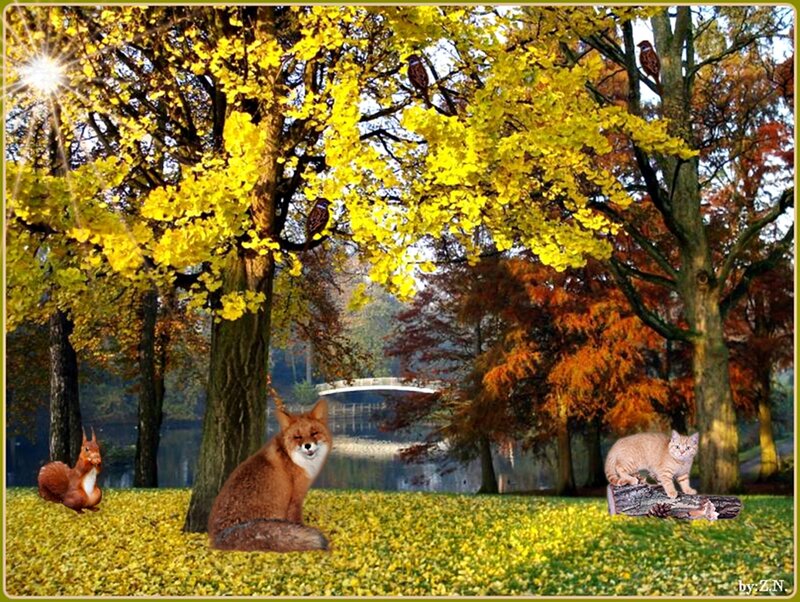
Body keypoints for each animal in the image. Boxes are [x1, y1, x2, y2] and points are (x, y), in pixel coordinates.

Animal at [208, 398, 332, 552]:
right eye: (297, 437)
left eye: (314, 433)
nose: (307, 445)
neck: (291, 457)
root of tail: (218, 538)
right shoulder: (295, 499)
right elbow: (298, 522)